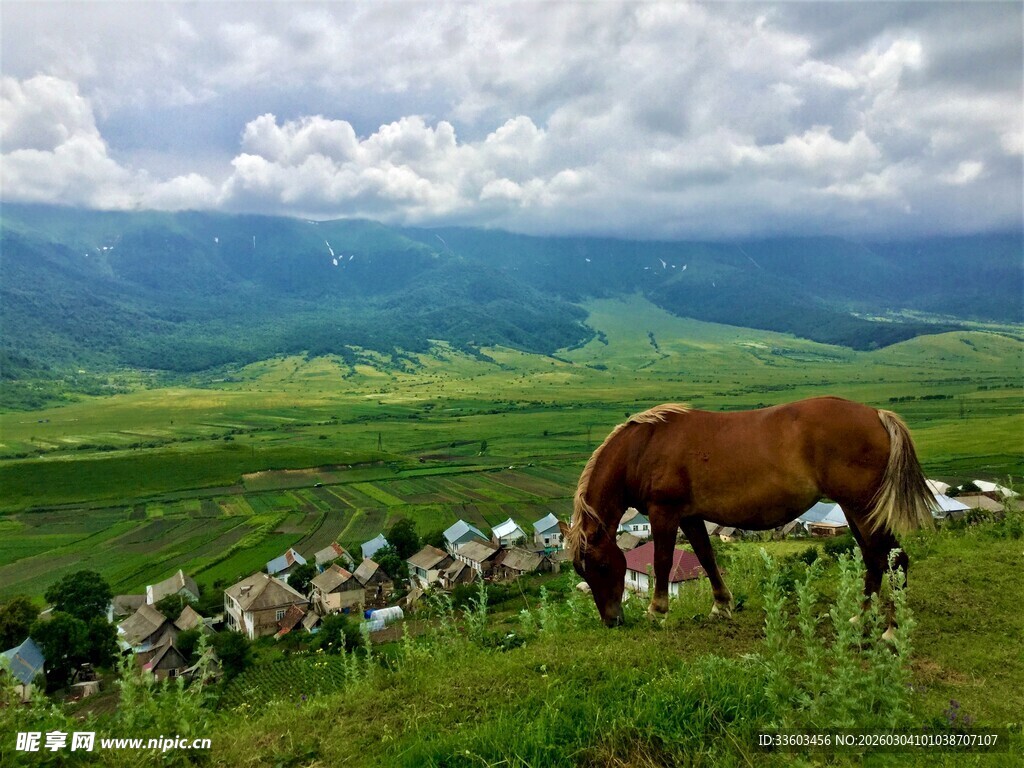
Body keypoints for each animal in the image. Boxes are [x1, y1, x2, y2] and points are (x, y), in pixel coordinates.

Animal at [558, 397, 935, 628]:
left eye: (602, 565)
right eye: (580, 570)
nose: (611, 620)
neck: (643, 447)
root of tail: (877, 416)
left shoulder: (664, 511)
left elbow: (663, 561)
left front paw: (657, 610)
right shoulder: (690, 515)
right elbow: (706, 557)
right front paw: (721, 605)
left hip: (863, 506)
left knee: (893, 559)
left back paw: (890, 630)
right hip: (855, 509)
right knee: (875, 558)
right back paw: (862, 619)